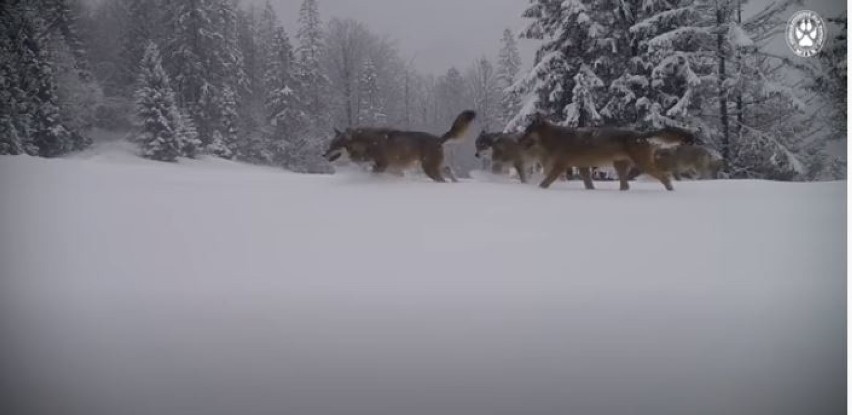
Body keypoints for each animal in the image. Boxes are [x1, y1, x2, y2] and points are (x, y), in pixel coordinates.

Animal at [322, 110, 476, 182]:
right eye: (330, 145)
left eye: (334, 145)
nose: (323, 154)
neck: (366, 144)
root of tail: (438, 138)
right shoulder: (393, 170)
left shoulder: (382, 165)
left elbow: (373, 173)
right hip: (432, 167)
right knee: (448, 170)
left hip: (429, 169)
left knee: (442, 178)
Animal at [520, 114, 700, 191]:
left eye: (527, 132)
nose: (519, 139)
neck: (556, 138)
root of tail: (641, 134)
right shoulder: (583, 168)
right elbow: (589, 184)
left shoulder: (560, 166)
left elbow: (546, 181)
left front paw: (539, 189)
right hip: (621, 167)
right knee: (626, 185)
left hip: (644, 166)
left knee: (665, 177)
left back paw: (670, 191)